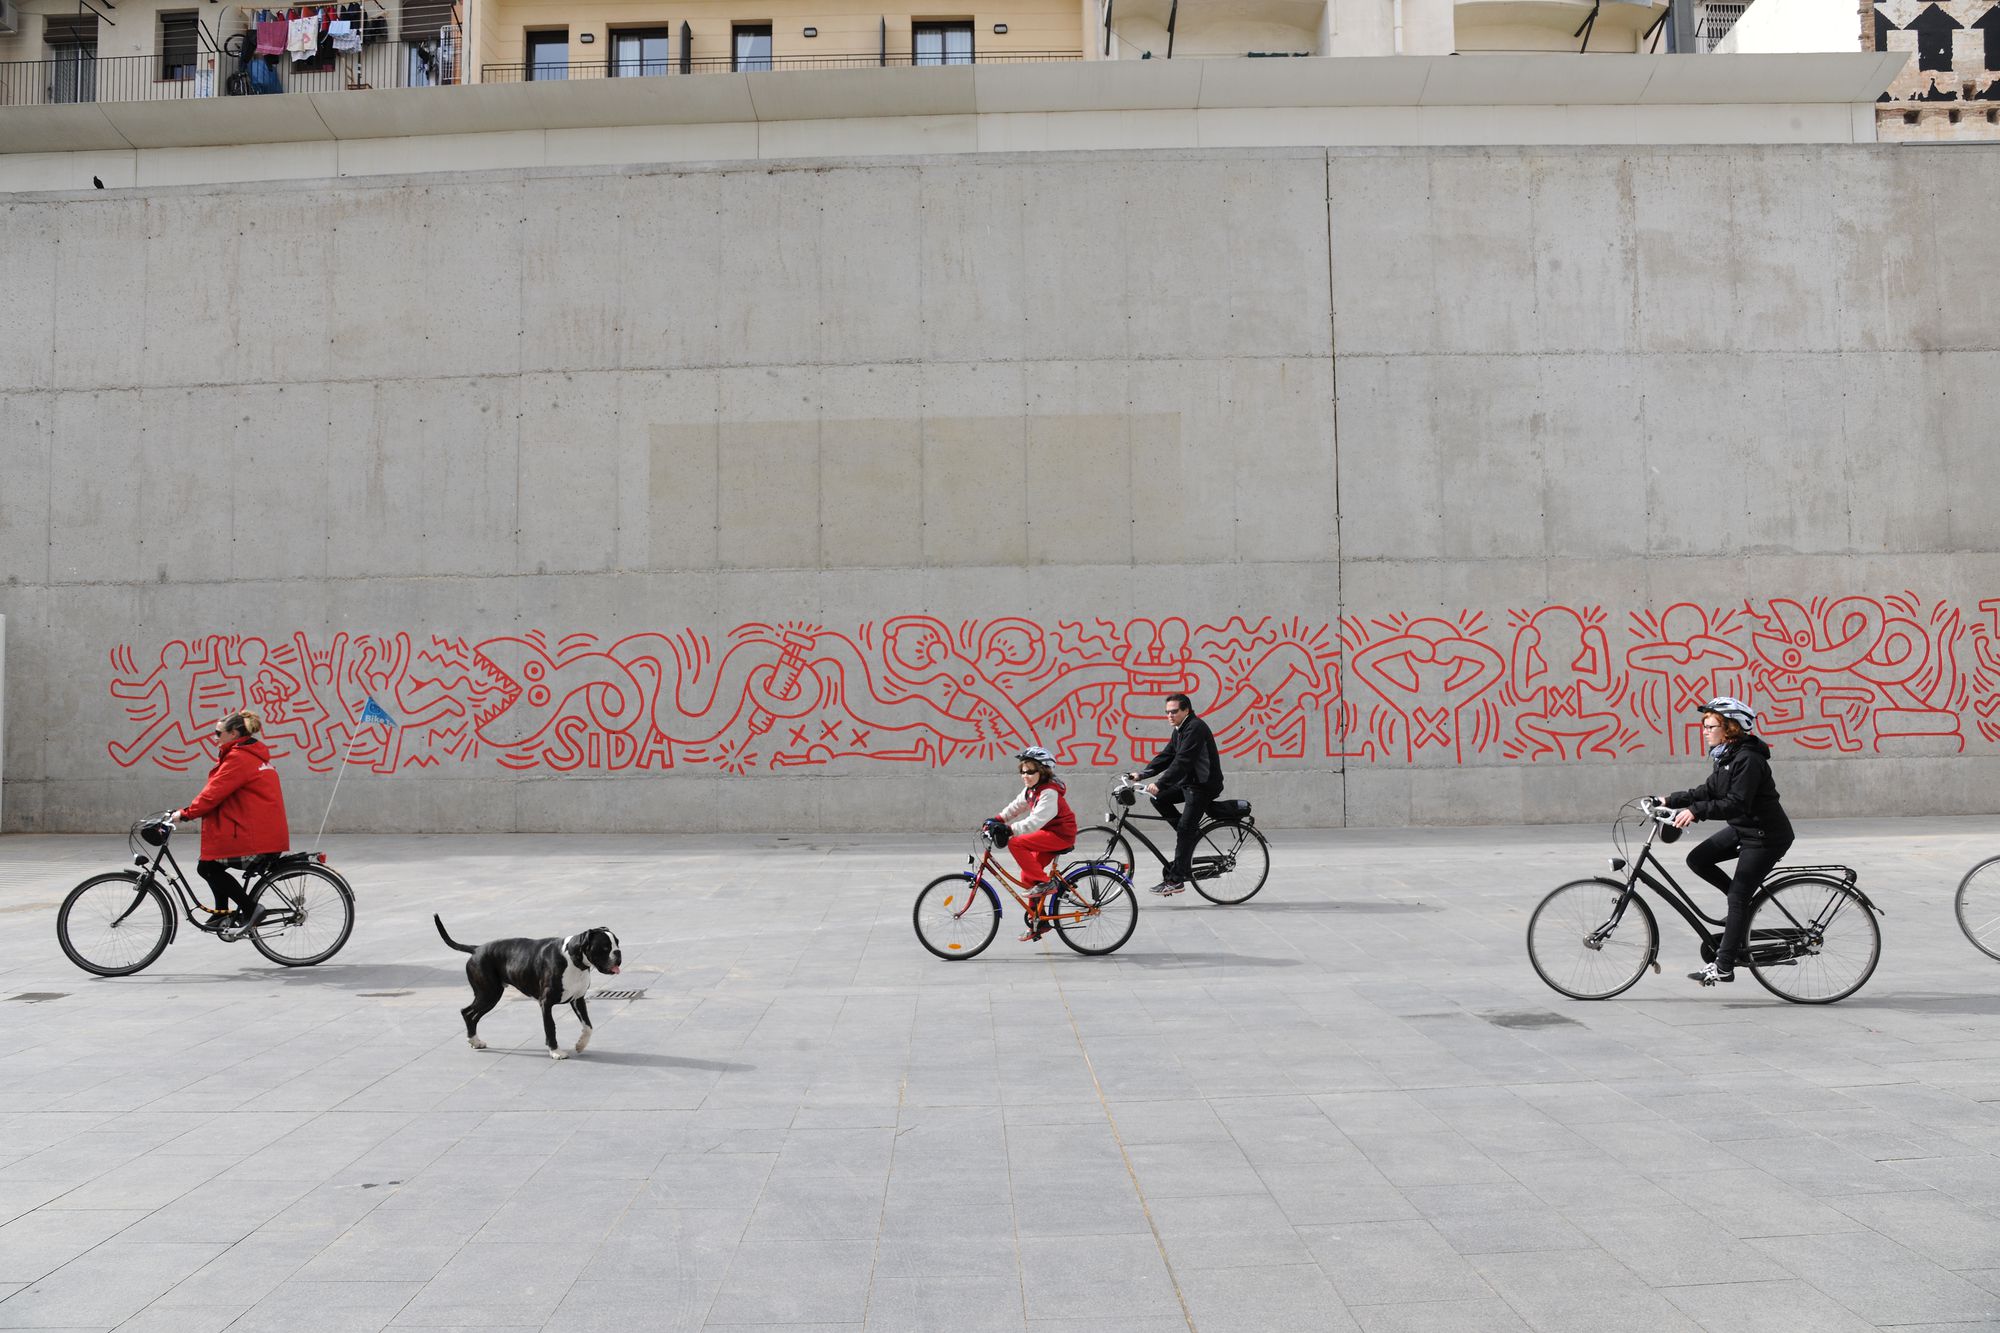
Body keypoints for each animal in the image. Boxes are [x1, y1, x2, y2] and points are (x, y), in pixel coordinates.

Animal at [438, 912, 624, 1056]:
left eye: (617, 943)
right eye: (605, 947)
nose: (618, 953)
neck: (573, 959)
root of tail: (476, 949)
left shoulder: (578, 1000)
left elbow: (588, 1026)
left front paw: (580, 1044)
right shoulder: (546, 1003)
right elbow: (550, 1027)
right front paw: (555, 1052)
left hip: (490, 996)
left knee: (472, 1015)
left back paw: (475, 1041)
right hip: (488, 994)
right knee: (467, 1012)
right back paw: (473, 1039)